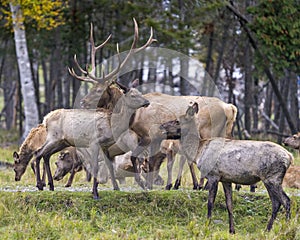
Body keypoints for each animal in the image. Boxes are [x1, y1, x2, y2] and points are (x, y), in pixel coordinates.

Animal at [13, 86, 149, 199]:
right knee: (38, 153)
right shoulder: (94, 142)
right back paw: (40, 185)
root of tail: (45, 119)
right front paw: (95, 193)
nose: (147, 102)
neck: (112, 124)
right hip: (53, 138)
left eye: (140, 93)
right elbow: (94, 166)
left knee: (45, 155)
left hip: (61, 142)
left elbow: (108, 165)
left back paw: (50, 185)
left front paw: (103, 189)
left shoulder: (105, 146)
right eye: (133, 95)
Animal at [69, 18, 238, 189]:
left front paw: (148, 184)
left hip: (209, 131)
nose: (82, 102)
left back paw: (201, 184)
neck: (134, 119)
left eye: (98, 90)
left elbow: (145, 161)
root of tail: (229, 107)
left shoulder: (150, 136)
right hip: (226, 131)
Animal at [159, 102, 292, 233]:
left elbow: (210, 203)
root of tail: (290, 157)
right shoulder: (226, 179)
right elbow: (229, 204)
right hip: (269, 179)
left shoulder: (213, 175)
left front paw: (207, 226)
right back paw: (268, 229)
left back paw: (286, 228)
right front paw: (232, 230)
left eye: (177, 121)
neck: (198, 151)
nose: (161, 126)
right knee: (276, 203)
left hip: (272, 177)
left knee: (285, 201)